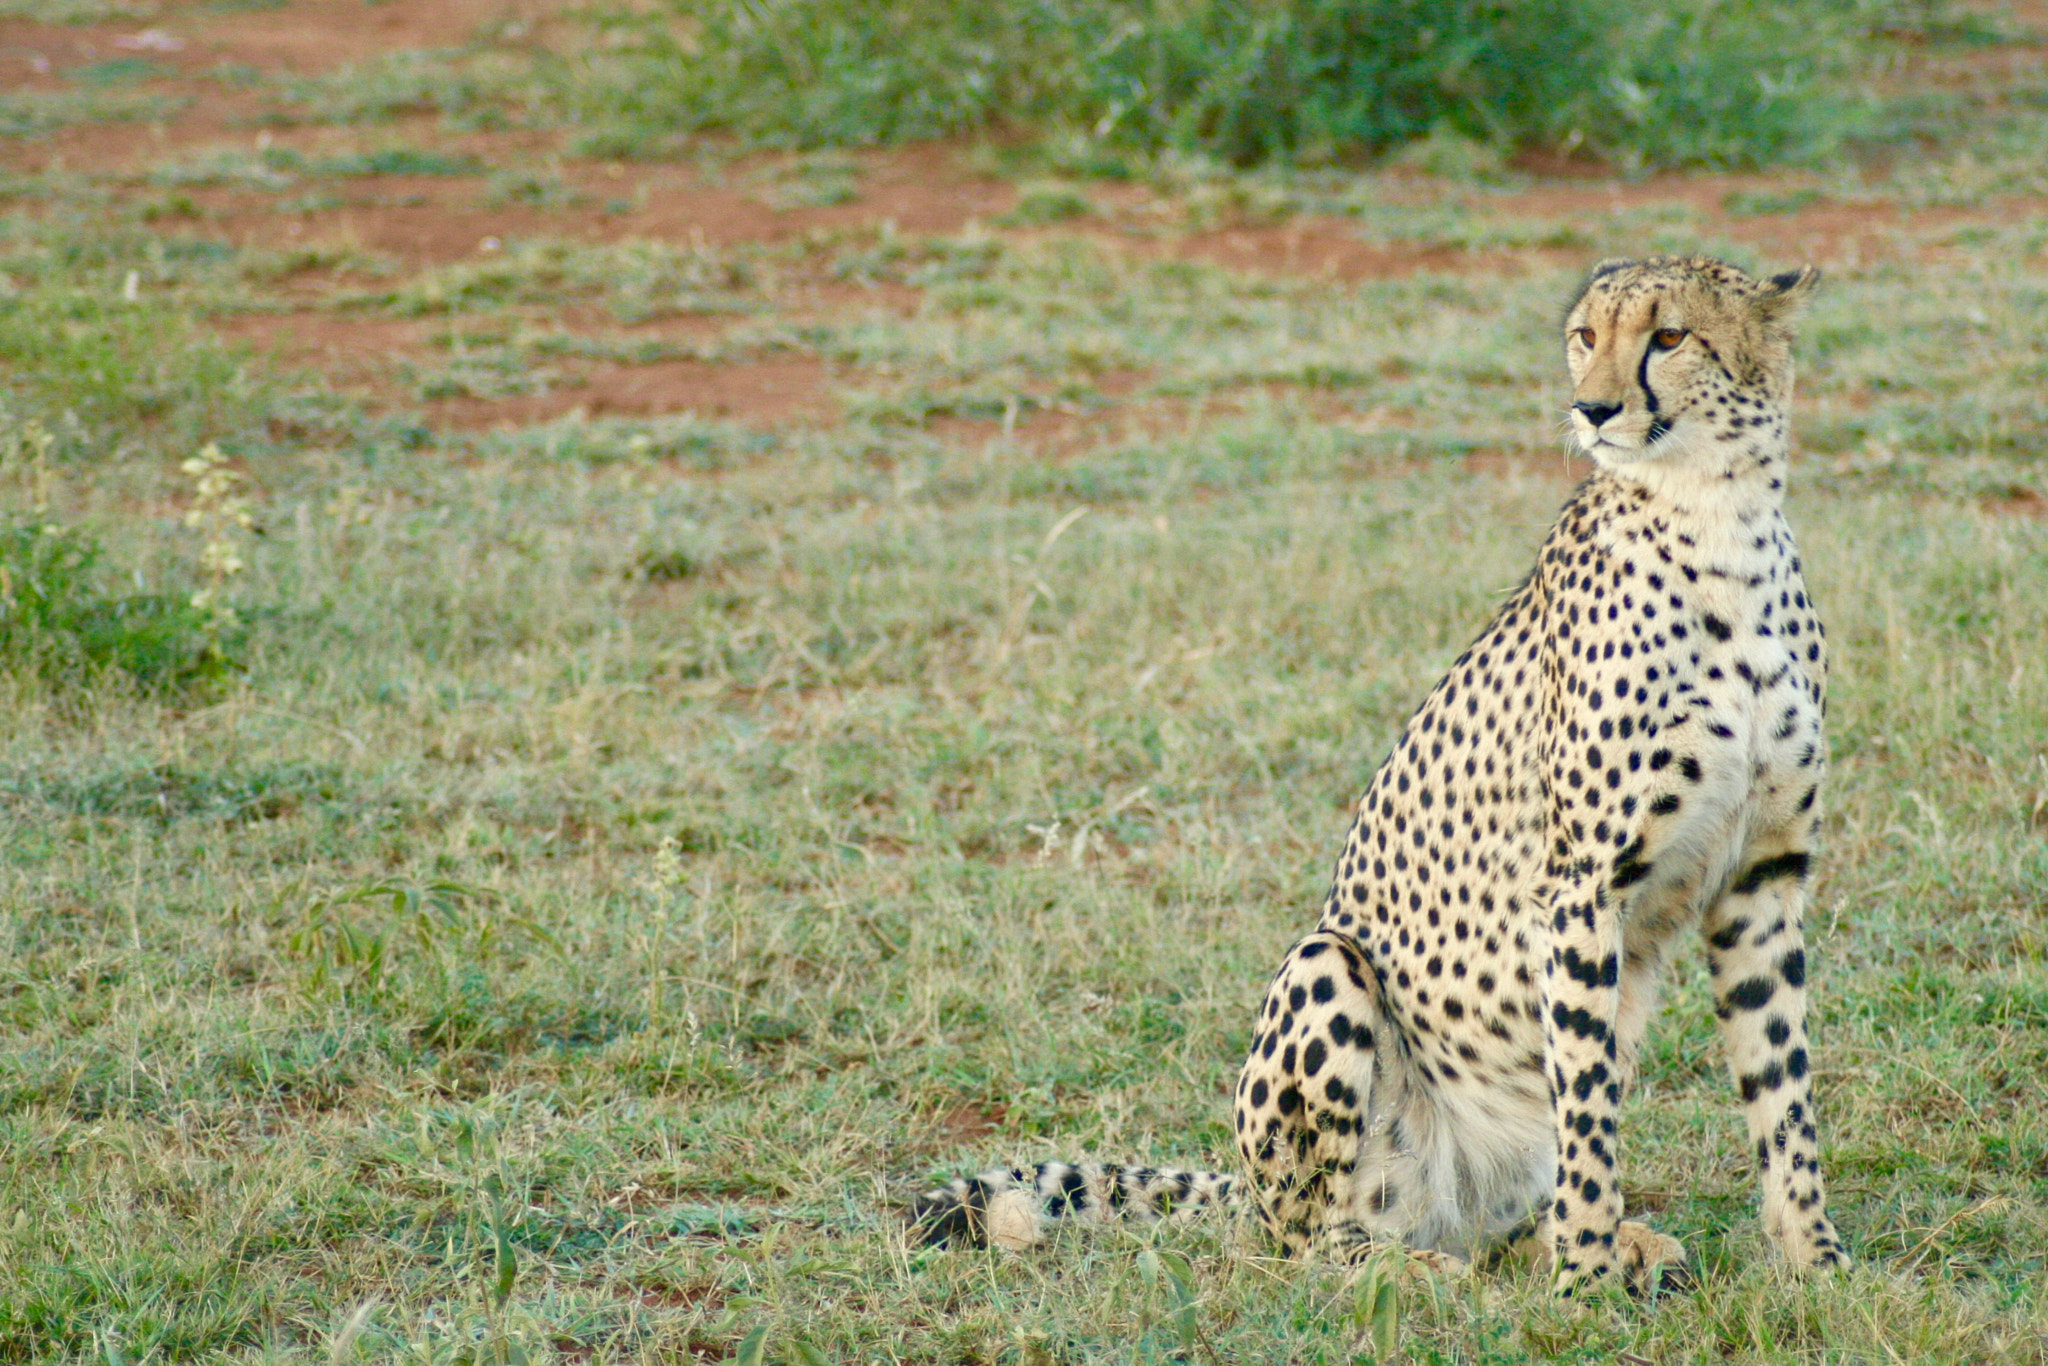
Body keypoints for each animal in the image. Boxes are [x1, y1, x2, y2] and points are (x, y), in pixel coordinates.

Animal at [909, 255, 1851, 1296]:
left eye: (1670, 337)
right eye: (1585, 337)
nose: (1593, 408)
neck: (1721, 522)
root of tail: (1248, 1191)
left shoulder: (1762, 877)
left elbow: (1782, 1090)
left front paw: (1814, 1260)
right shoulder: (1580, 887)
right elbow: (1591, 1109)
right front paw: (1587, 1285)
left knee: (1498, 1219)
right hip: (1326, 974)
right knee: (1310, 1246)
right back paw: (1424, 1269)